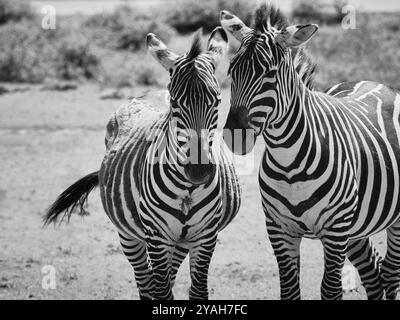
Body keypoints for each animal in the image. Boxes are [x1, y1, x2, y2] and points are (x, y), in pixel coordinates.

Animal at [43, 28, 241, 300]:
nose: (198, 170)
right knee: (146, 283)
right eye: (175, 103)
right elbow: (161, 291)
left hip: (180, 241)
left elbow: (197, 290)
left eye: (217, 100)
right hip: (129, 234)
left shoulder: (206, 235)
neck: (187, 190)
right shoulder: (156, 237)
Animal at [220, 3, 400, 300]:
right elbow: (290, 289)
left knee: (390, 273)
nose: (234, 134)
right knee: (374, 273)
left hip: (388, 220)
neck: (289, 162)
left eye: (270, 73)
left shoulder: (335, 229)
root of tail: (376, 82)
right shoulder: (279, 228)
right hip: (357, 225)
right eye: (231, 70)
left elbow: (330, 289)